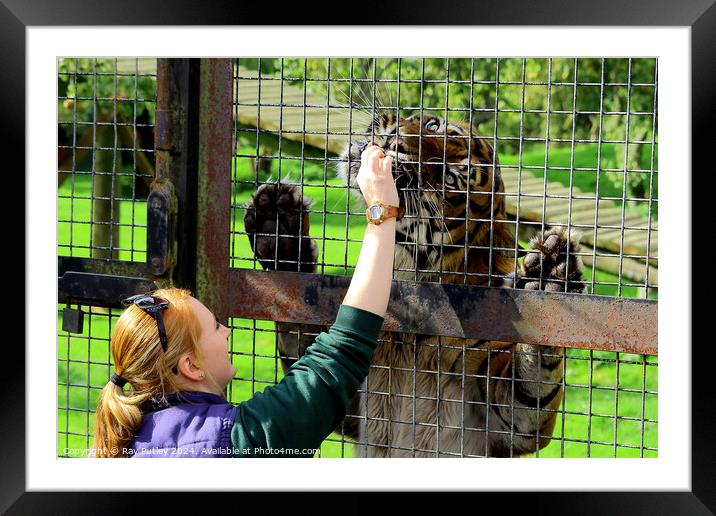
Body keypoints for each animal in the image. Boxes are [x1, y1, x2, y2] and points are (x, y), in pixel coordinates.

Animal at [243, 111, 584, 458]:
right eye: (433, 127)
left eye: (450, 178)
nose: (396, 141)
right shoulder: (349, 405)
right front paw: (279, 227)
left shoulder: (505, 422)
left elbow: (530, 389)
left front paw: (549, 277)